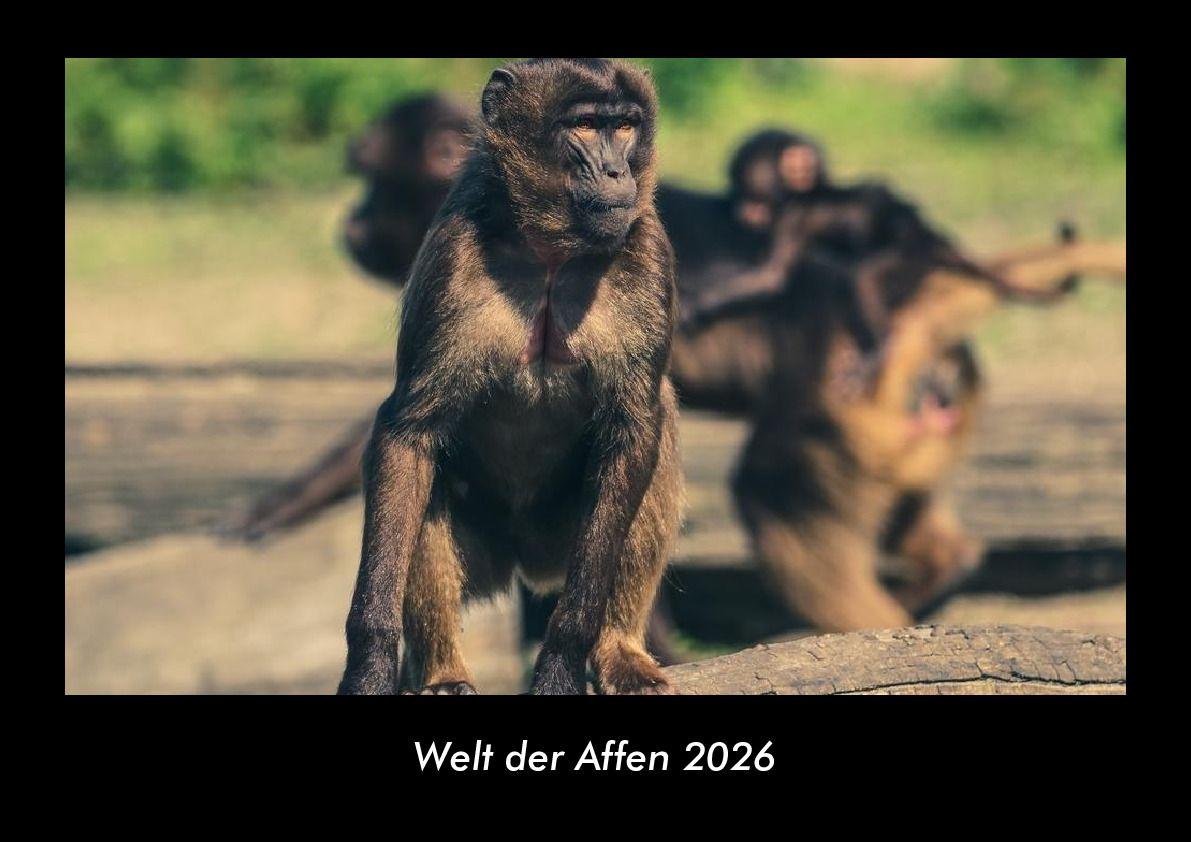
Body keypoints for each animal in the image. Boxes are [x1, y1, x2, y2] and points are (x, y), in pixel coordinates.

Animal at [338, 58, 681, 695]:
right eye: (586, 125)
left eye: (625, 126)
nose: (617, 170)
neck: (550, 252)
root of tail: (526, 563)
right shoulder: (453, 255)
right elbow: (408, 435)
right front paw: (370, 665)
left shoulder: (646, 249)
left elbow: (634, 428)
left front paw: (563, 661)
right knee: (423, 476)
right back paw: (444, 670)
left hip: (561, 541)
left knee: (658, 431)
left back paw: (619, 649)